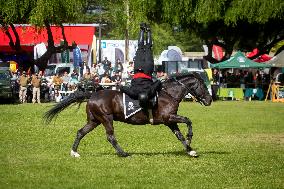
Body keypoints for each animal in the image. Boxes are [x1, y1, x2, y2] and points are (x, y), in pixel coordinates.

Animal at [44, 73, 212, 157]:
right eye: (203, 86)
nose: (209, 100)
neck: (169, 93)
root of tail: (92, 94)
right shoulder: (167, 118)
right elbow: (188, 121)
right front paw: (190, 138)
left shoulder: (170, 121)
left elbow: (179, 135)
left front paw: (190, 150)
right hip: (106, 119)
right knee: (110, 137)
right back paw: (123, 153)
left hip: (94, 120)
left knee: (80, 132)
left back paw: (74, 152)